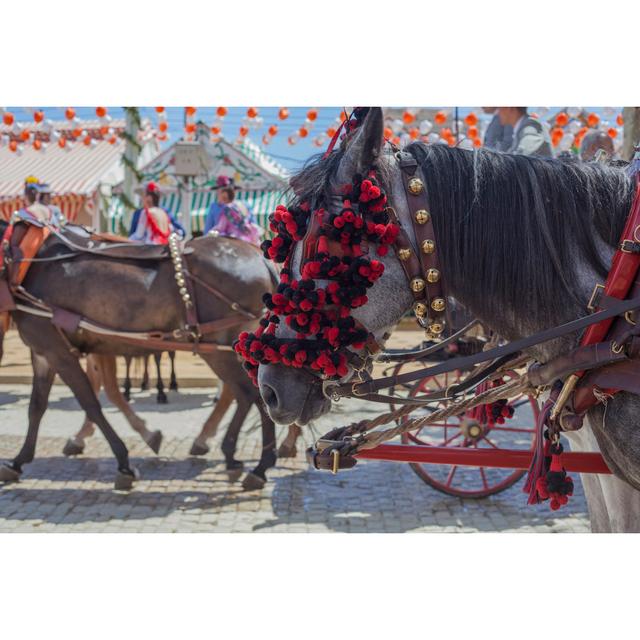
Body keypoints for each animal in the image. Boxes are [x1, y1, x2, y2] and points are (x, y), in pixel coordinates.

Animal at [0, 230, 280, 490]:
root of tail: (258, 256)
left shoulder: (57, 350)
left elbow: (90, 402)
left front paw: (124, 462)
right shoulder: (44, 352)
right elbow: (37, 406)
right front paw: (17, 461)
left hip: (218, 350)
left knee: (251, 395)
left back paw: (258, 465)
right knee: (246, 395)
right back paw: (235, 454)